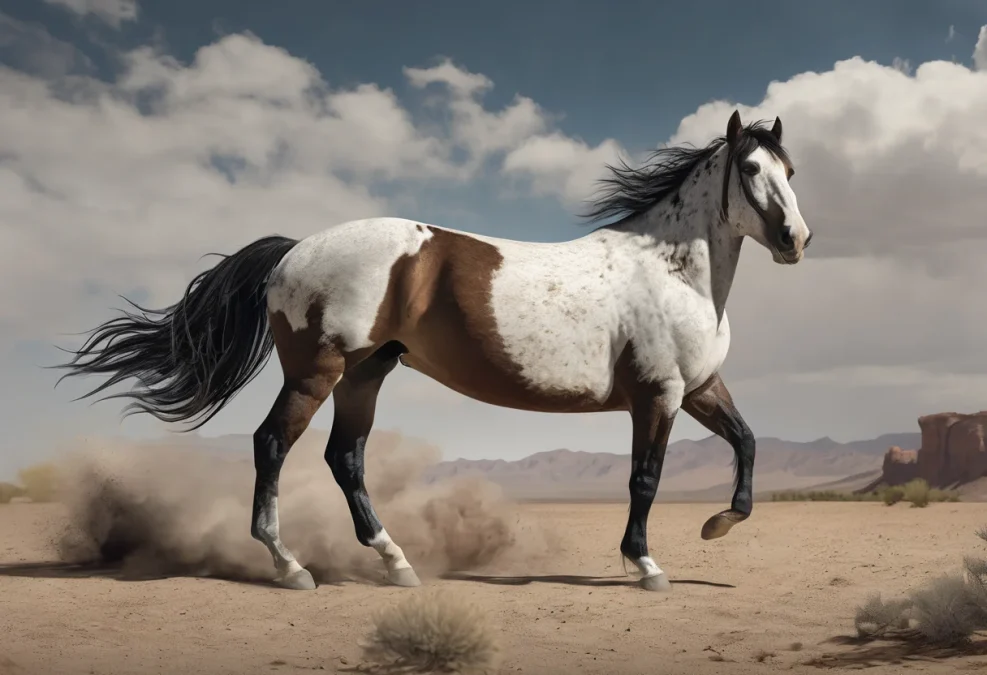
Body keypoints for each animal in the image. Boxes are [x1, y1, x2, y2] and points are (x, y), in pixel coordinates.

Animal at [57, 109, 812, 592]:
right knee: (273, 444)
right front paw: (647, 567)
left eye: (791, 169)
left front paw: (717, 524)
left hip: (365, 373)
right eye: (750, 168)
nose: (795, 241)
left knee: (345, 458)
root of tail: (294, 249)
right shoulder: (657, 394)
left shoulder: (700, 388)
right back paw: (291, 567)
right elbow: (646, 479)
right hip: (316, 372)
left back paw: (395, 564)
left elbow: (746, 444)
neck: (671, 270)